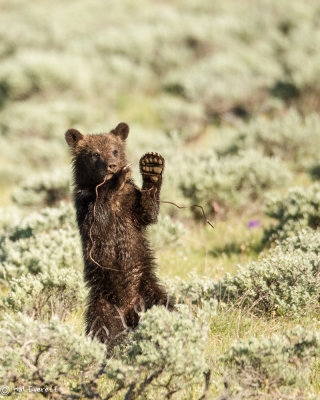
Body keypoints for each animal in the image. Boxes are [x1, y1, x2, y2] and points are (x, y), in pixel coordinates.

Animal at [65, 122, 174, 346]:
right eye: (95, 153)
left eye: (115, 150)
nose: (112, 165)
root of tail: (130, 308)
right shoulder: (86, 206)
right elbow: (97, 224)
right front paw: (115, 179)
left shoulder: (130, 207)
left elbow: (148, 212)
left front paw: (152, 166)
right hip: (103, 305)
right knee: (101, 331)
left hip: (148, 290)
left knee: (167, 305)